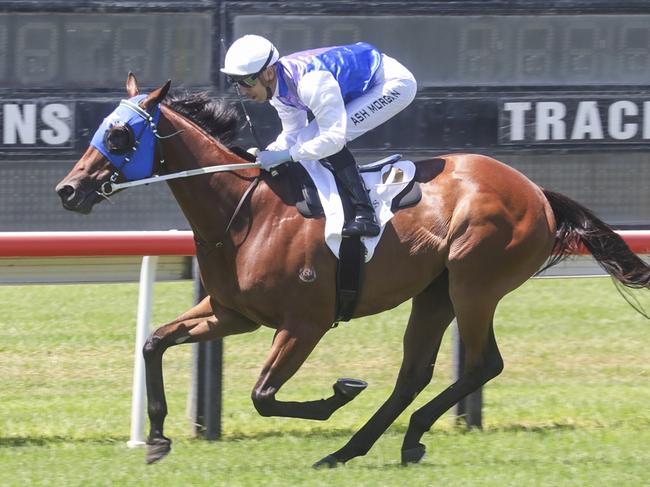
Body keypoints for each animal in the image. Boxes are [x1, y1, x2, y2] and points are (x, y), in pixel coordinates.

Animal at [55, 74, 648, 468]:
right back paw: (360, 447)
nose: (68, 190)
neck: (247, 212)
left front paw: (338, 393)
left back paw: (392, 437)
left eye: (120, 136)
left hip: (473, 283)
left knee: (483, 363)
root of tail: (536, 192)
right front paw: (156, 437)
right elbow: (154, 342)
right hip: (435, 292)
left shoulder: (305, 323)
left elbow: (263, 396)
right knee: (415, 373)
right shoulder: (231, 313)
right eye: (101, 128)